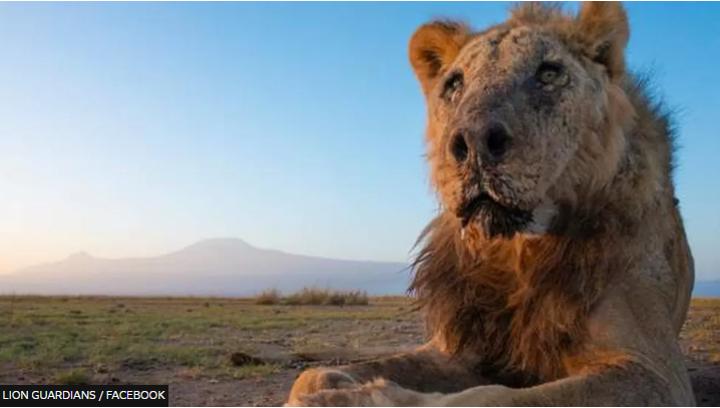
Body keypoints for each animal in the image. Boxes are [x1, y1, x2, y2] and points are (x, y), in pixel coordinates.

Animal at [287, 2, 695, 406]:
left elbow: (486, 397)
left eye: (549, 73)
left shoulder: (654, 371)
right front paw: (328, 387)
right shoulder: (461, 349)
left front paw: (363, 396)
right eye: (454, 84)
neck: (515, 252)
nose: (474, 142)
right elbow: (316, 374)